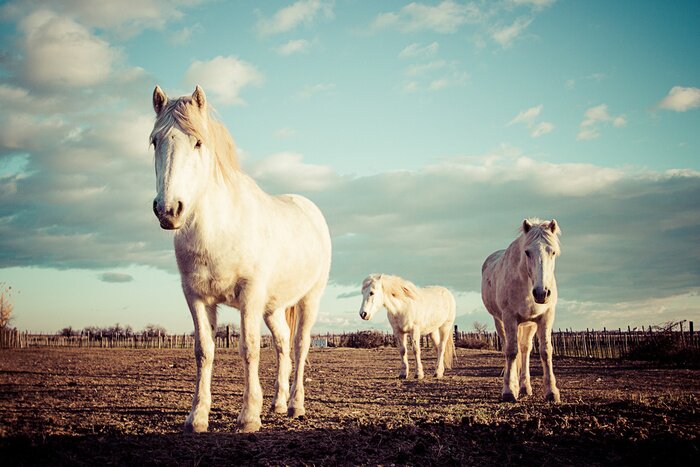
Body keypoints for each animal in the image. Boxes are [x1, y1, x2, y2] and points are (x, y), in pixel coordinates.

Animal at [149, 85, 332, 433]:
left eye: (198, 142)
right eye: (155, 141)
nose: (169, 210)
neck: (220, 228)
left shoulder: (249, 295)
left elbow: (249, 349)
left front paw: (248, 417)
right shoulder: (195, 296)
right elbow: (204, 351)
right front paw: (197, 417)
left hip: (310, 299)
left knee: (300, 346)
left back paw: (296, 405)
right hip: (272, 308)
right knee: (283, 344)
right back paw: (278, 403)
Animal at [481, 218, 562, 403]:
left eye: (553, 252)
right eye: (527, 252)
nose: (541, 293)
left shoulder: (546, 316)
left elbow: (546, 351)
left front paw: (551, 391)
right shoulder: (509, 317)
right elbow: (511, 352)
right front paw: (509, 390)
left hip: (529, 325)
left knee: (525, 350)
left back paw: (525, 386)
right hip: (500, 321)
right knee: (509, 347)